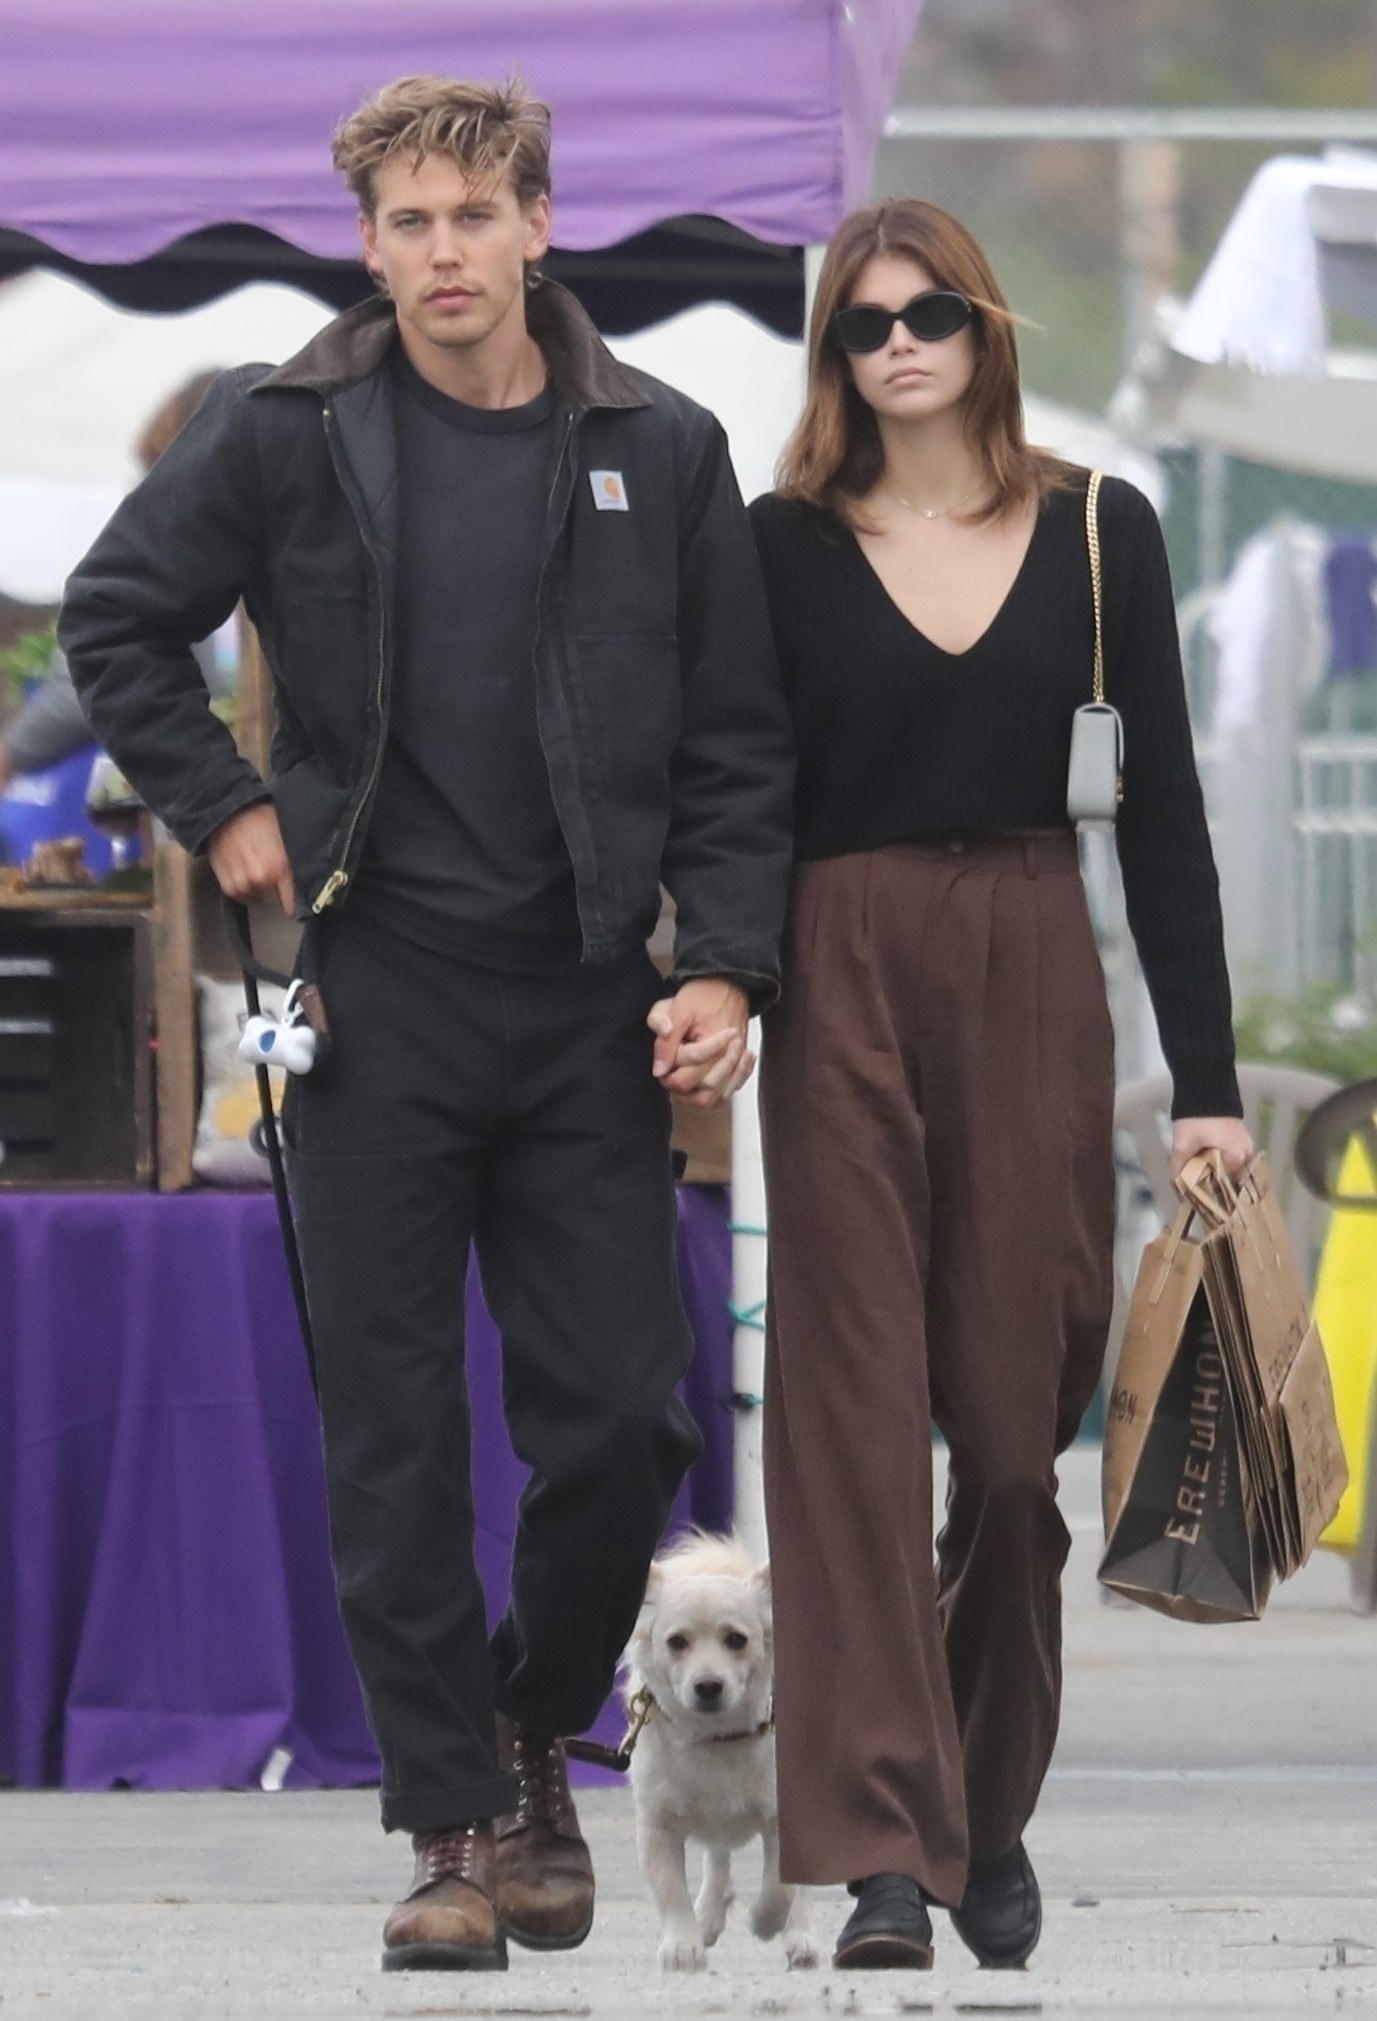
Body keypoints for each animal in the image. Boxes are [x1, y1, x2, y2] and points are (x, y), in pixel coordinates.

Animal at [626, 1535, 816, 1964]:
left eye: (736, 1640)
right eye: (677, 1642)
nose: (708, 1685)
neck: (717, 1739)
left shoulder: (783, 1821)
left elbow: (780, 1886)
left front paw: (764, 1922)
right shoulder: (657, 1826)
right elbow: (670, 1891)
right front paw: (683, 1944)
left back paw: (800, 1936)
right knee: (717, 1857)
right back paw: (709, 1914)